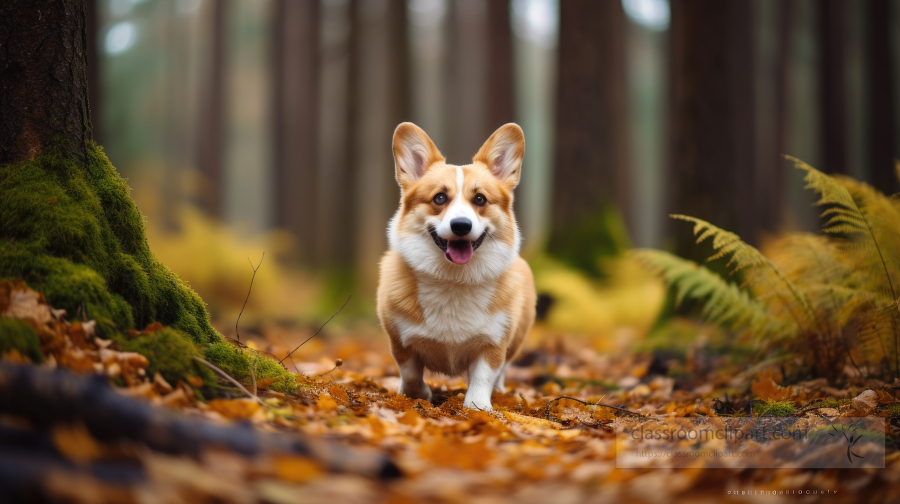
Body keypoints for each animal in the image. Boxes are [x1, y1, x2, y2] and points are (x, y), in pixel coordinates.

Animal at [378, 122, 536, 410]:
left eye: (480, 199)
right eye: (440, 198)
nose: (461, 225)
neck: (454, 279)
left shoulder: (494, 343)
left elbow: (484, 376)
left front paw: (478, 406)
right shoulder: (400, 342)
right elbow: (411, 376)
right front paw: (419, 394)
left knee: (503, 370)